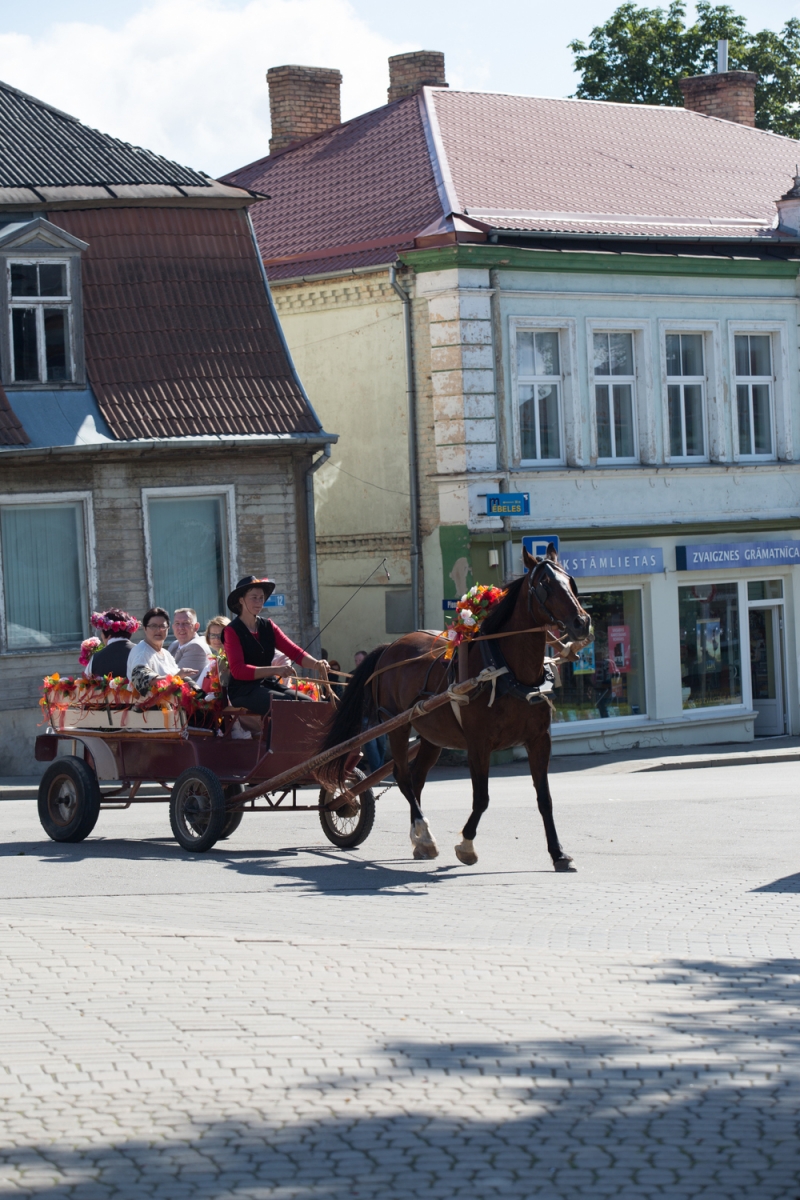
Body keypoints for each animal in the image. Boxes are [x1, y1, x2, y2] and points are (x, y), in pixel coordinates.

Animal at [321, 547, 592, 873]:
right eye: (544, 584)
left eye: (571, 582)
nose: (582, 622)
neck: (508, 671)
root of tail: (390, 646)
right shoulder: (479, 743)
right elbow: (482, 798)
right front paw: (466, 845)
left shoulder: (540, 740)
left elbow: (545, 799)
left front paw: (558, 853)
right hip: (397, 726)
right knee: (402, 776)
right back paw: (424, 833)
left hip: (432, 736)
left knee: (416, 778)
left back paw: (419, 838)